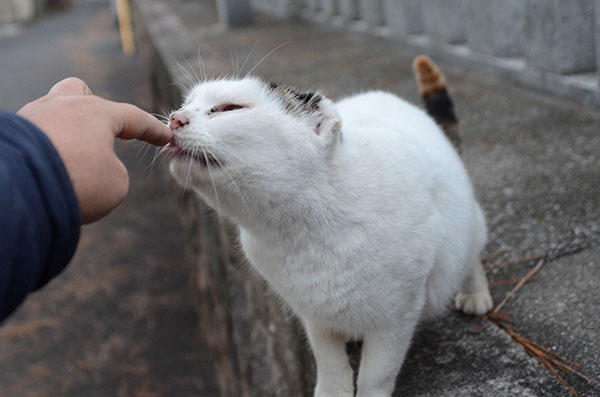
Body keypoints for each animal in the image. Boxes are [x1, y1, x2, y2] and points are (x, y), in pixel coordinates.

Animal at [166, 56, 490, 396]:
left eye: (229, 108)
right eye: (186, 104)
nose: (175, 119)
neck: (300, 234)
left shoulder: (398, 315)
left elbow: (376, 374)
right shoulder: (312, 312)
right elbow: (328, 359)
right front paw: (334, 388)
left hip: (469, 227)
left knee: (472, 256)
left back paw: (475, 294)